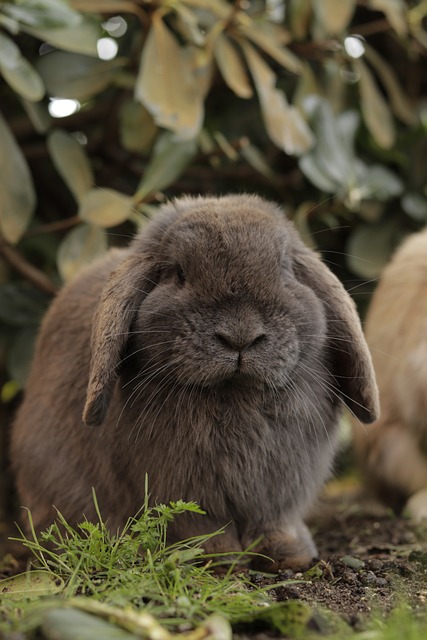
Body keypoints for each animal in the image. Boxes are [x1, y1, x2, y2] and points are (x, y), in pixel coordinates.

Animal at [10, 195, 380, 568]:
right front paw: (217, 555)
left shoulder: (280, 492)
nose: (240, 336)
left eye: (285, 269)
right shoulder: (176, 486)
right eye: (178, 272)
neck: (233, 394)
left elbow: (274, 522)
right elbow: (197, 523)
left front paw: (290, 555)